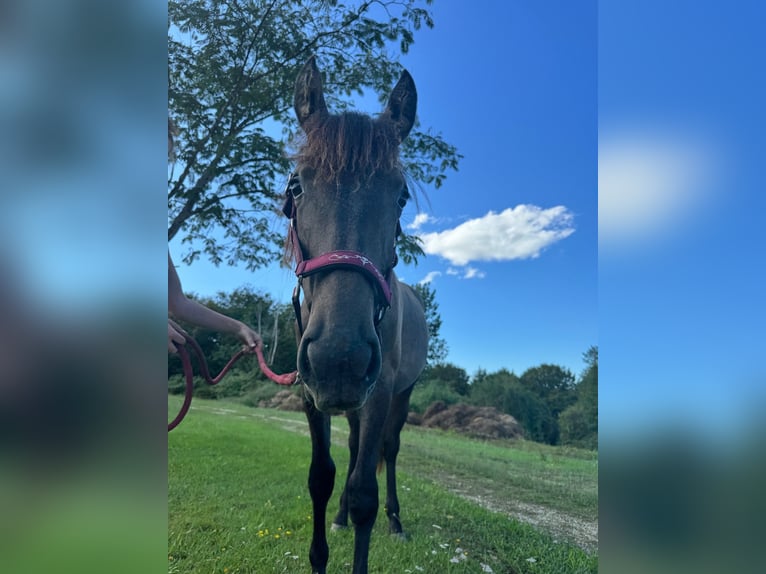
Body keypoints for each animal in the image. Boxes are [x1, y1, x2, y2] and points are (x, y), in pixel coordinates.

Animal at [286, 55, 432, 574]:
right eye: (297, 185)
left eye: (401, 195)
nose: (339, 358)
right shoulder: (311, 391)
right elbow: (321, 477)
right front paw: (327, 535)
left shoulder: (382, 390)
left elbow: (366, 487)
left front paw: (368, 515)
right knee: (351, 452)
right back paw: (341, 517)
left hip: (399, 395)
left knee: (388, 452)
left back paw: (395, 520)